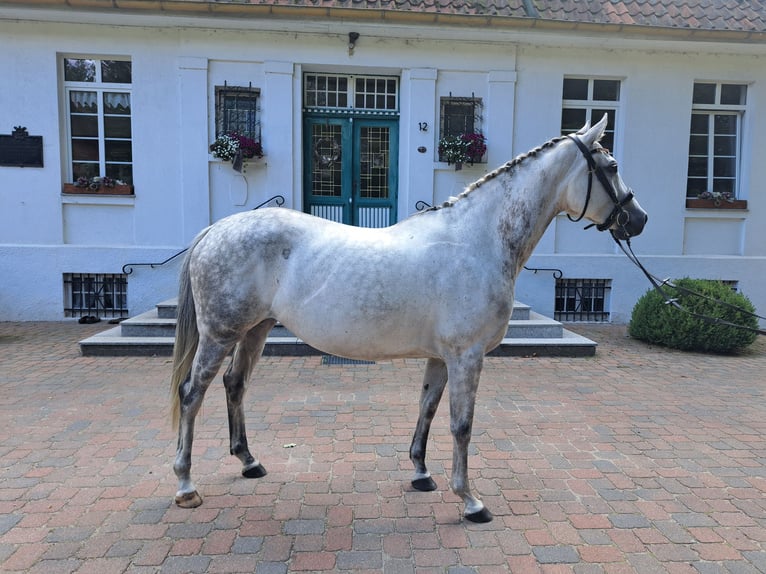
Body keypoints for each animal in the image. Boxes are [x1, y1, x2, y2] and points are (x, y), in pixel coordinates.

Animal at [170, 115, 648, 524]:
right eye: (612, 165)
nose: (638, 219)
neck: (477, 241)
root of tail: (215, 230)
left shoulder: (442, 356)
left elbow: (428, 408)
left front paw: (421, 473)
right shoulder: (467, 356)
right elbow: (461, 425)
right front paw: (470, 501)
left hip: (255, 330)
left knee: (235, 385)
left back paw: (249, 462)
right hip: (220, 334)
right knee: (192, 394)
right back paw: (185, 485)